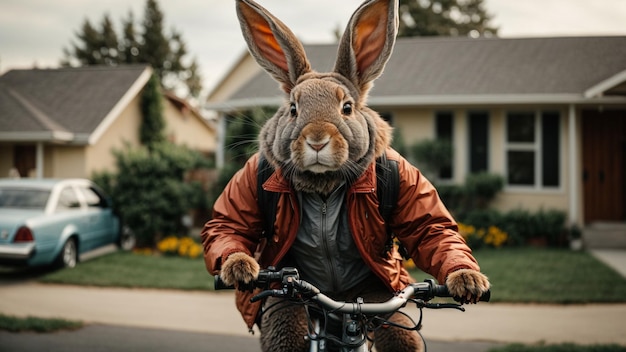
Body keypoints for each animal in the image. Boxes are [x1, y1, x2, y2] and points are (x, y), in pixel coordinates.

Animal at [208, 0, 488, 350]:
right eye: (293, 109)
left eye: (347, 108)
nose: (317, 140)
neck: (325, 190)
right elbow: (227, 224)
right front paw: (238, 266)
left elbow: (433, 228)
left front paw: (466, 278)